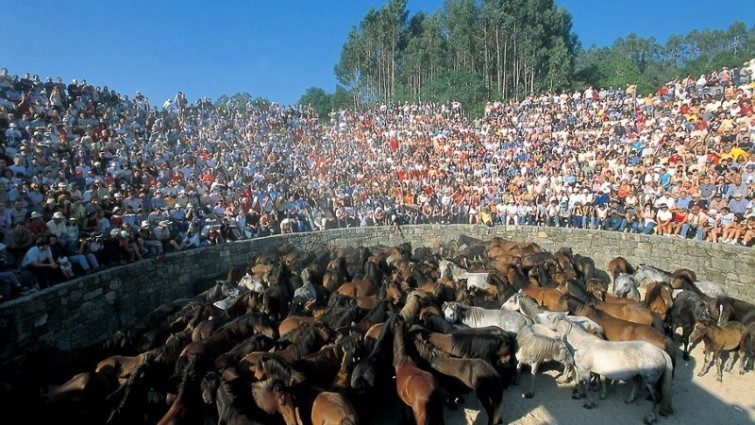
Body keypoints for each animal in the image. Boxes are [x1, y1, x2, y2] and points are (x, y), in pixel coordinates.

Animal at [536, 314, 672, 422]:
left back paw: (650, 418)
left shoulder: (586, 370)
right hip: (638, 375)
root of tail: (662, 352)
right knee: (637, 384)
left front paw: (589, 403)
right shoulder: (580, 370)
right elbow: (580, 382)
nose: (536, 317)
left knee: (656, 398)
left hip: (651, 381)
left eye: (550, 316)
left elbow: (587, 386)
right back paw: (630, 399)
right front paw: (578, 395)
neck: (582, 344)